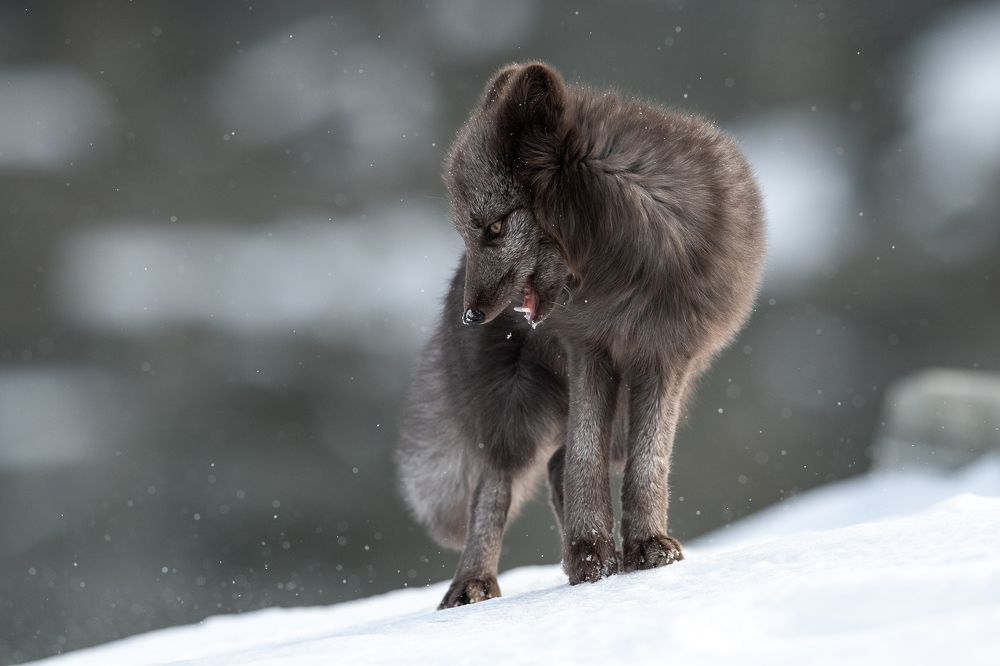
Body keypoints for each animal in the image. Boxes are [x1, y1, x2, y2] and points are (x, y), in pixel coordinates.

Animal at [397, 62, 765, 609]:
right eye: (469, 230)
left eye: (495, 228)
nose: (470, 316)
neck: (628, 260)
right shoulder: (588, 348)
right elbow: (583, 460)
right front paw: (591, 555)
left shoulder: (666, 357)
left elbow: (648, 462)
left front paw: (642, 548)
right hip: (515, 408)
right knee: (500, 481)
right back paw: (474, 583)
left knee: (557, 464)